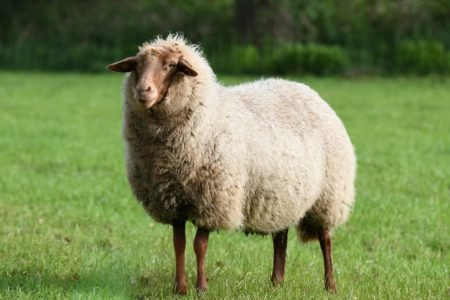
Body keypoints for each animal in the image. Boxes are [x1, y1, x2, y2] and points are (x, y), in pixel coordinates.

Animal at [106, 34, 356, 294]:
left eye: (171, 65)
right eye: (136, 65)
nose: (142, 91)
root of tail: (306, 89)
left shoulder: (212, 200)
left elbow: (199, 245)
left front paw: (201, 288)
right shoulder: (172, 201)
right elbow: (178, 244)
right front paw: (180, 288)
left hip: (329, 195)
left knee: (326, 240)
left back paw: (330, 285)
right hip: (282, 197)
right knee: (280, 237)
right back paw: (276, 282)